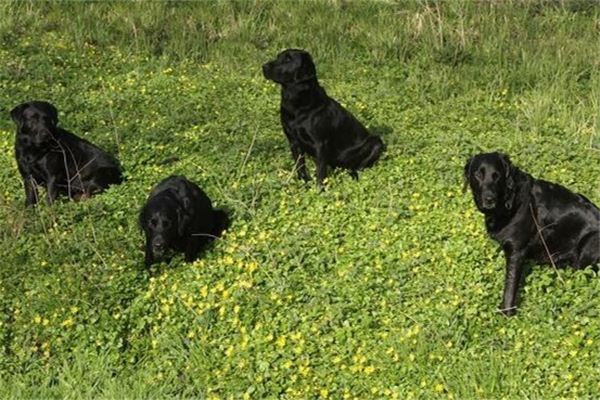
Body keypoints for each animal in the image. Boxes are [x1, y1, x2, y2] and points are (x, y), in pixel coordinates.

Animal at [262, 49, 384, 187]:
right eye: (278, 57)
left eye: (288, 59)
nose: (264, 66)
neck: (297, 104)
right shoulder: (293, 142)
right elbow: (300, 166)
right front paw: (305, 183)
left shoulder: (320, 144)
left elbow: (320, 172)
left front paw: (320, 189)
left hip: (376, 143)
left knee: (358, 167)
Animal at [464, 152, 600, 316]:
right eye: (478, 174)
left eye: (497, 176)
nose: (490, 199)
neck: (509, 200)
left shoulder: (516, 252)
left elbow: (510, 287)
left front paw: (506, 313)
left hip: (588, 245)